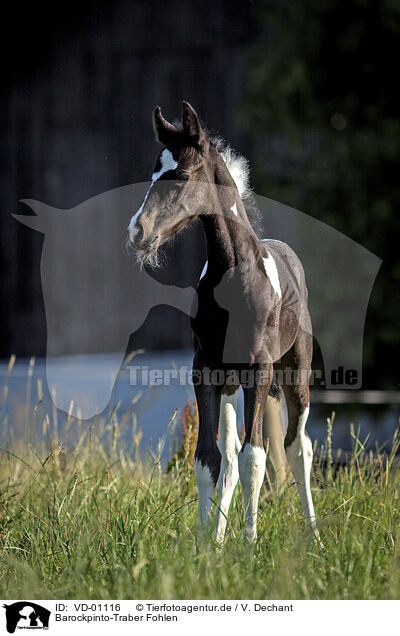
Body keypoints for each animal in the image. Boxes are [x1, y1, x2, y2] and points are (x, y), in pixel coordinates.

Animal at [128, 102, 322, 544]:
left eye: (181, 175)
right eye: (153, 173)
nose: (137, 232)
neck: (234, 272)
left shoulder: (259, 370)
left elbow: (256, 458)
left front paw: (249, 543)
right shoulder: (206, 369)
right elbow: (209, 459)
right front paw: (205, 544)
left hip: (294, 375)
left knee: (297, 447)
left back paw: (314, 536)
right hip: (232, 383)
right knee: (232, 457)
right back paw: (219, 536)